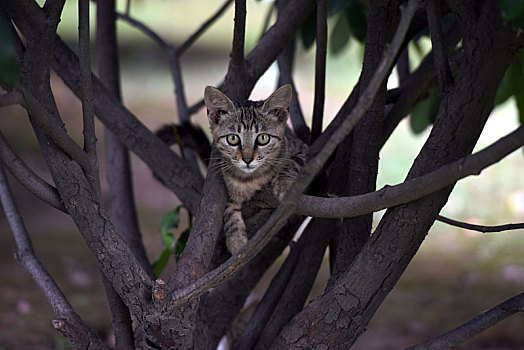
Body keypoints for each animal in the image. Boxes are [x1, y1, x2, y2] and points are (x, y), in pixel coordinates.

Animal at [205, 85, 310, 254]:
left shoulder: (301, 148)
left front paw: (284, 185)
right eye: (232, 138)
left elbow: (291, 163)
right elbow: (228, 207)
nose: (247, 159)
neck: (250, 178)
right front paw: (236, 239)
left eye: (263, 138)